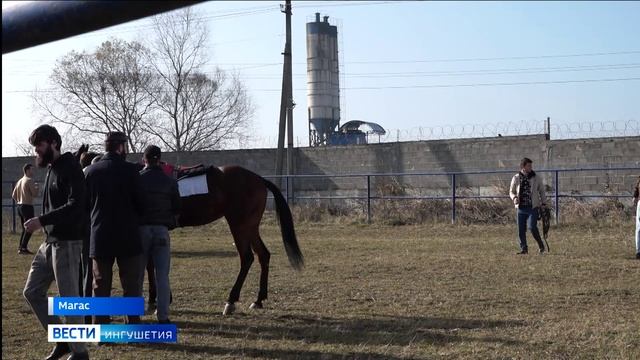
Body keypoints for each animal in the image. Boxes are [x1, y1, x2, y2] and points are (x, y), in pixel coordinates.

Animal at [75, 145, 304, 314]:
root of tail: (258, 178)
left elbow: (150, 264)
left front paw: (155, 300)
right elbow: (152, 264)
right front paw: (159, 298)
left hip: (239, 224)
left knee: (247, 257)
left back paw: (231, 301)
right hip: (250, 225)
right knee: (263, 255)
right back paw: (258, 299)